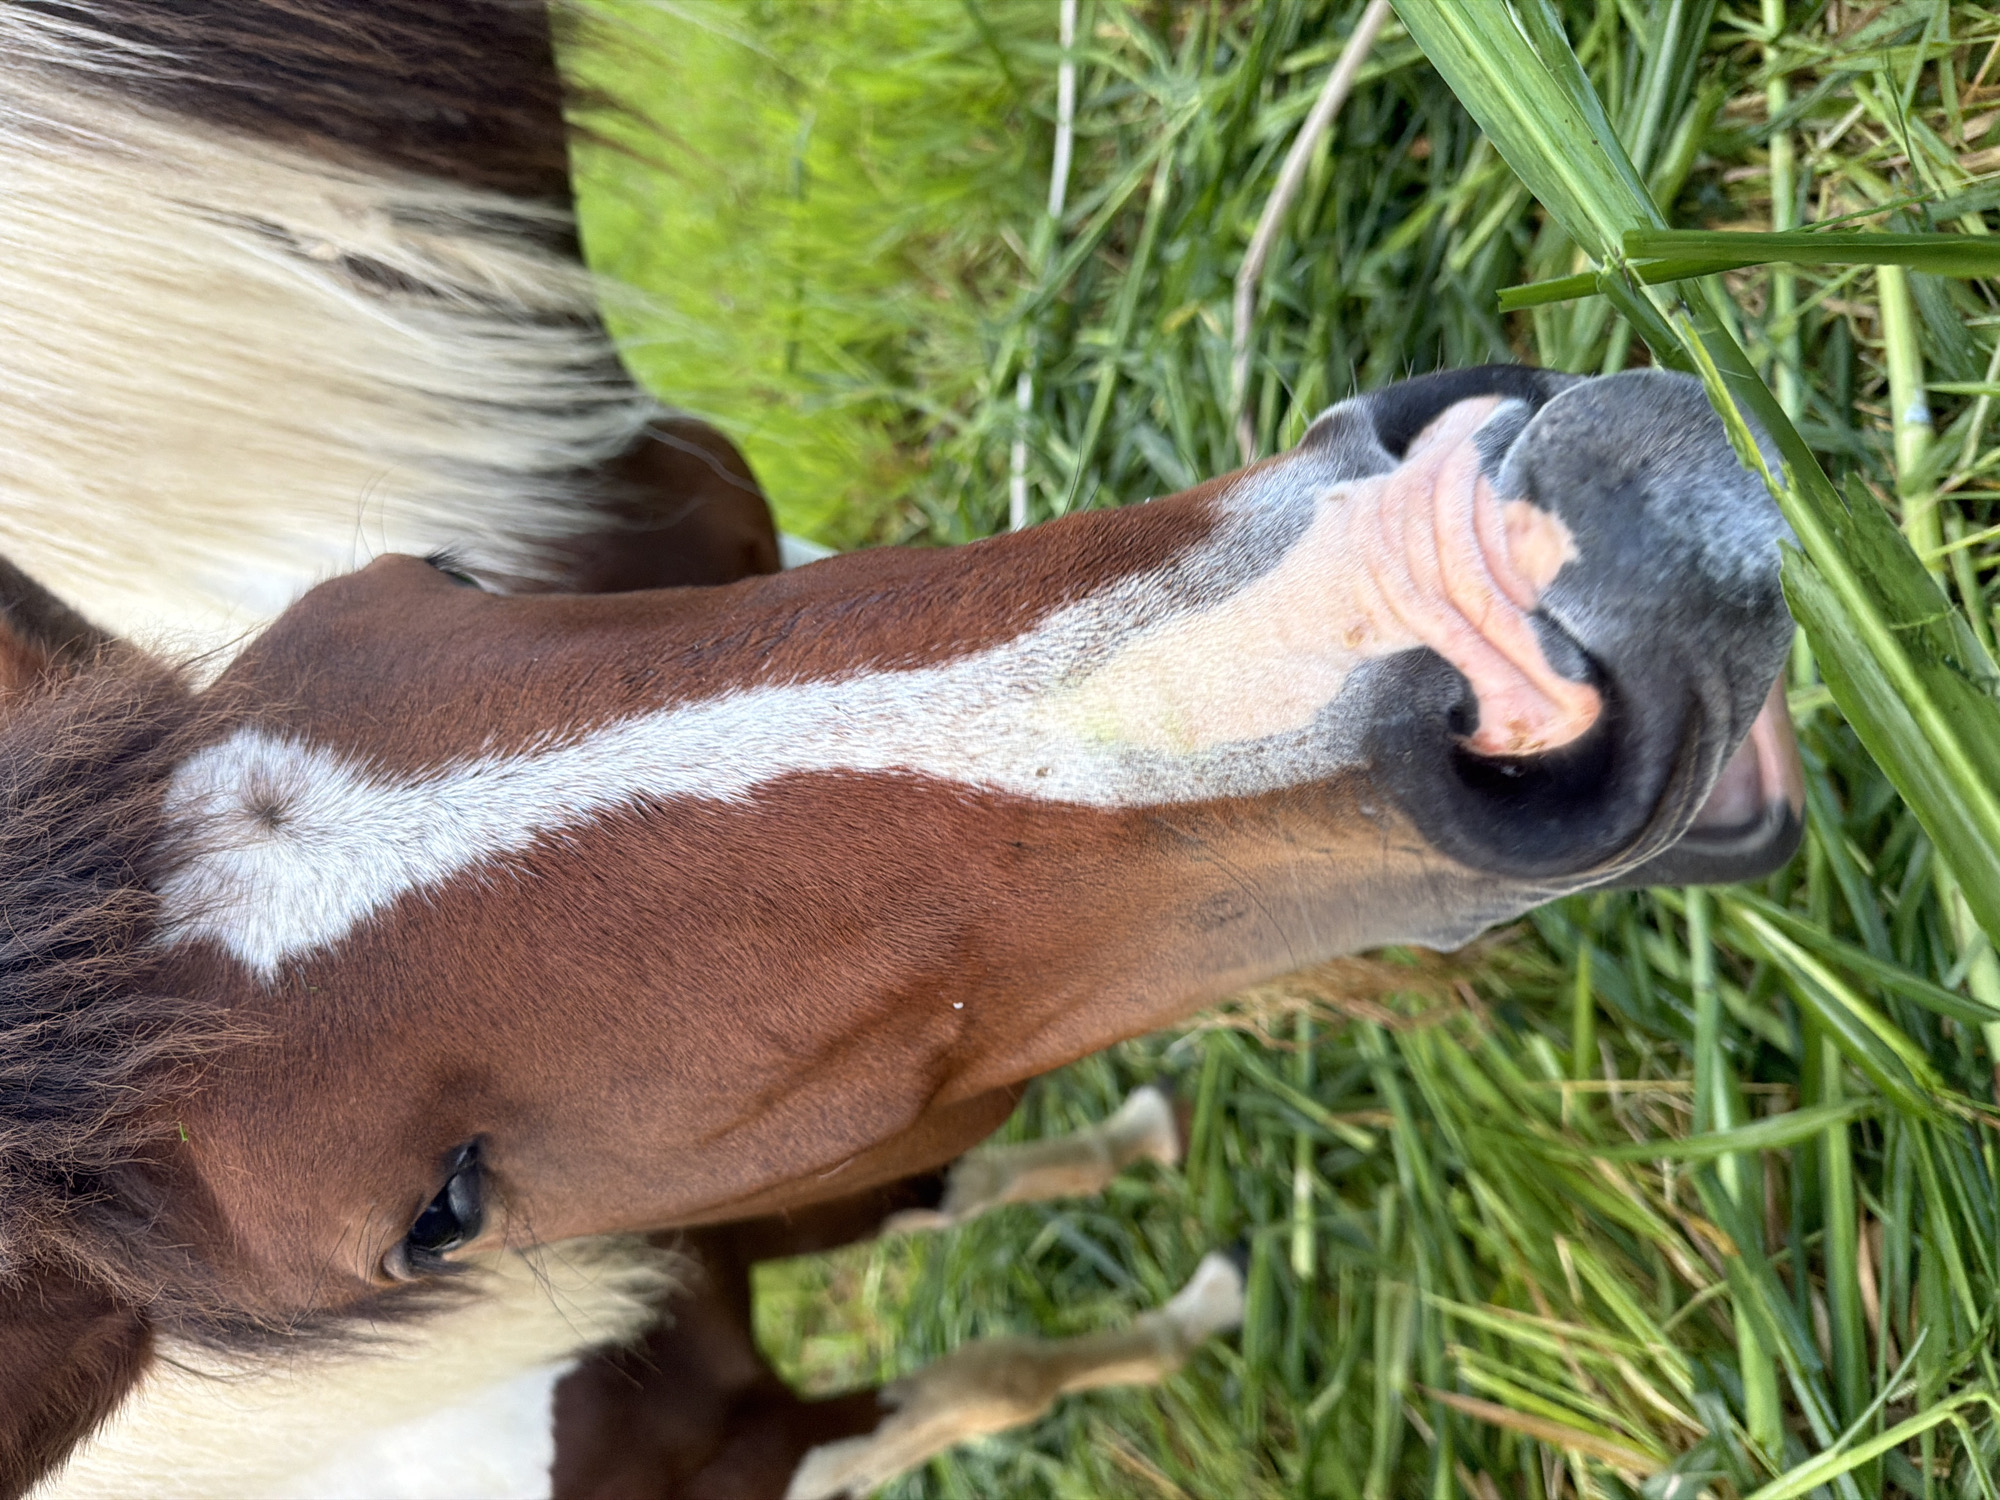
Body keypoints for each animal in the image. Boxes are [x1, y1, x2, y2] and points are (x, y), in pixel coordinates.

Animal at [0, 3, 1804, 1497]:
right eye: (435, 1216)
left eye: (426, 576)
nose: (1455, 578)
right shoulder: (731, 1443)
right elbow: (984, 1379)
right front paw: (1191, 1308)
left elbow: (946, 1186)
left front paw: (1138, 1161)